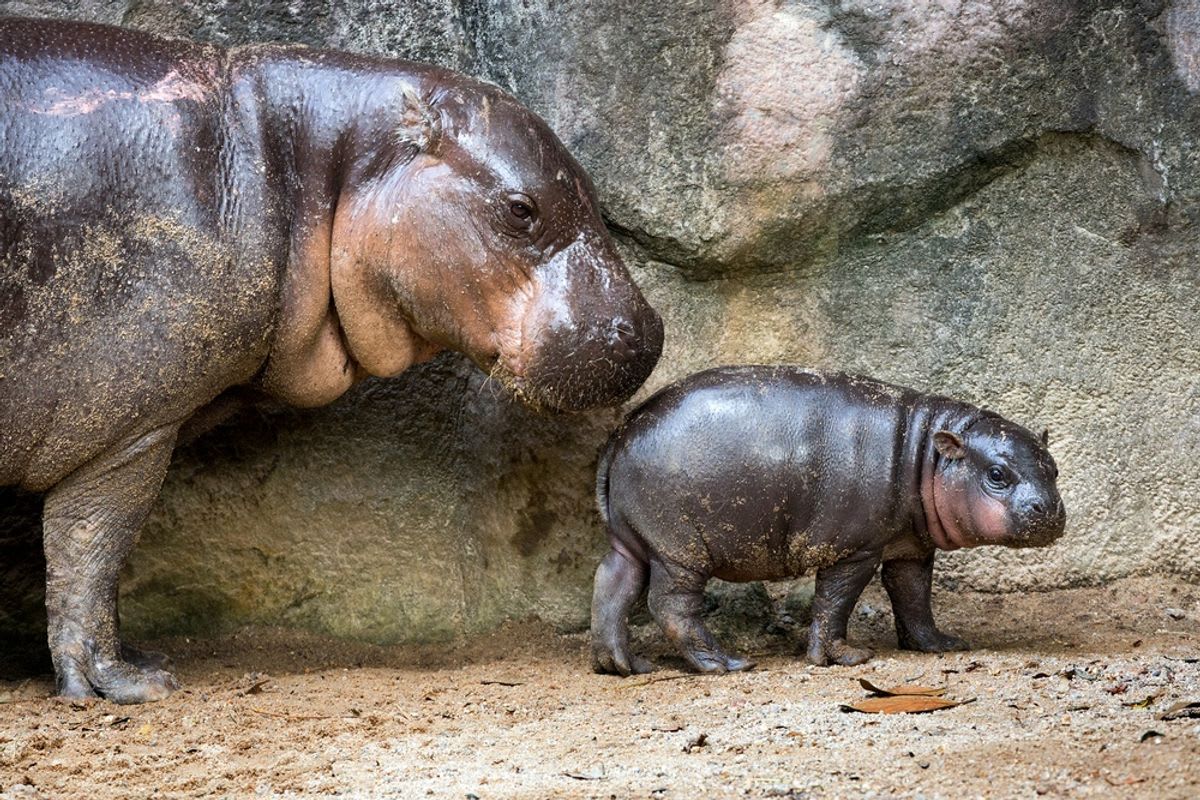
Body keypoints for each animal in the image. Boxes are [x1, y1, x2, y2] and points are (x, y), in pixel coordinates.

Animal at [0, 17, 663, 703]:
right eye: (519, 209)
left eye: (593, 195)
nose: (647, 330)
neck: (293, 157)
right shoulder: (128, 424)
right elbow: (91, 550)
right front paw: (130, 683)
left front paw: (139, 659)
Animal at [591, 366, 1065, 675]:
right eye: (997, 474)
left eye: (1054, 468)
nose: (1050, 509)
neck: (924, 454)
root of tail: (622, 434)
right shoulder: (854, 549)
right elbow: (836, 601)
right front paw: (846, 658)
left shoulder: (910, 547)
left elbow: (914, 597)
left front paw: (941, 645)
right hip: (680, 548)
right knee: (670, 606)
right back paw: (729, 664)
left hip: (633, 541)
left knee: (612, 585)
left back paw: (623, 666)